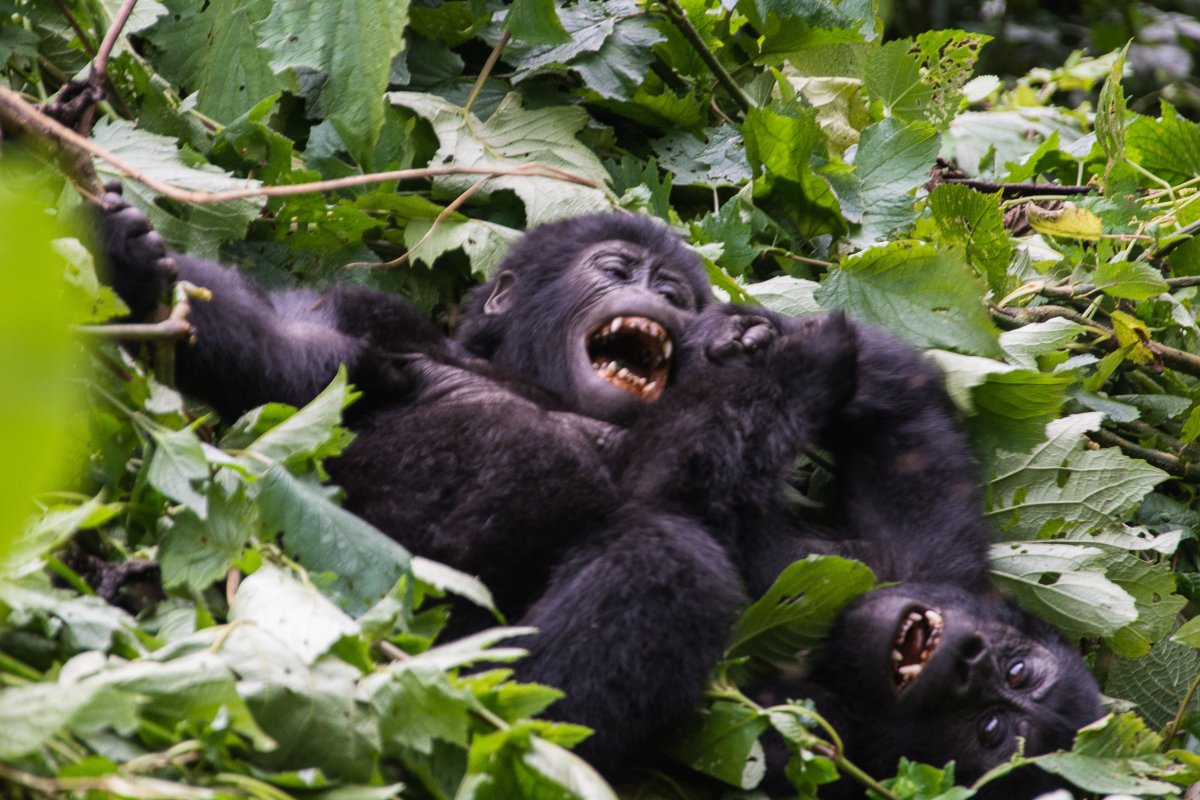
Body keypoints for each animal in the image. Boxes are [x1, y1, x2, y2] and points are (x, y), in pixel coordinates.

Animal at [98, 189, 1099, 796]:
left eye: (998, 724)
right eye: (623, 275)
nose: (968, 660)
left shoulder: (815, 742)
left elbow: (668, 489)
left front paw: (789, 360)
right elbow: (293, 358)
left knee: (665, 561)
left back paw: (506, 735)